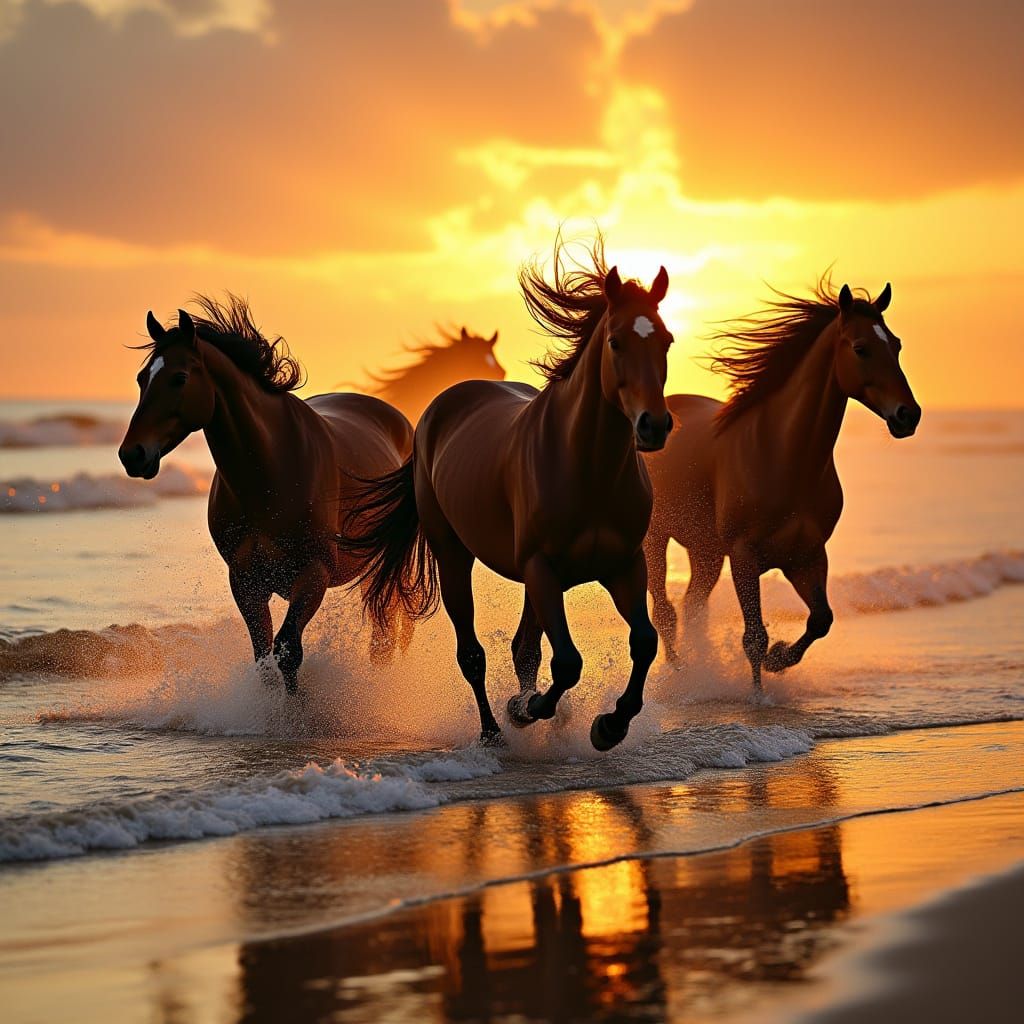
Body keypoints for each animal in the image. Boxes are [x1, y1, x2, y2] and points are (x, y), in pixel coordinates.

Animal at [117, 295, 414, 692]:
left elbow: (288, 651)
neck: (269, 478)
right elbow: (264, 659)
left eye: (179, 378)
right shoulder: (247, 581)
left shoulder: (313, 573)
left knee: (386, 632)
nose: (132, 454)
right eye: (142, 378)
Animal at [643, 277, 921, 695]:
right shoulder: (744, 556)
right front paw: (759, 698)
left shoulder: (807, 556)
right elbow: (753, 637)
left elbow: (821, 620)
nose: (909, 415)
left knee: (692, 606)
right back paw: (680, 674)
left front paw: (779, 658)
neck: (782, 456)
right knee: (665, 611)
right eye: (861, 348)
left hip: (706, 551)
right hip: (656, 540)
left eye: (897, 345)